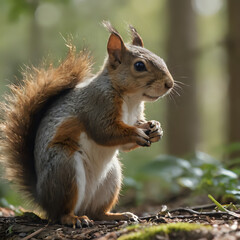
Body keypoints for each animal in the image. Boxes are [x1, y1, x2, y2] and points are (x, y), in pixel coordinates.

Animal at [0, 22, 173, 227]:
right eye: (139, 66)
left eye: (160, 58)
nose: (170, 84)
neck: (131, 99)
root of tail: (43, 199)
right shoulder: (97, 105)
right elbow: (104, 132)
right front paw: (136, 133)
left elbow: (127, 142)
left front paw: (156, 129)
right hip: (65, 168)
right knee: (62, 213)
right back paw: (74, 219)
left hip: (112, 178)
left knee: (97, 212)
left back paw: (118, 215)